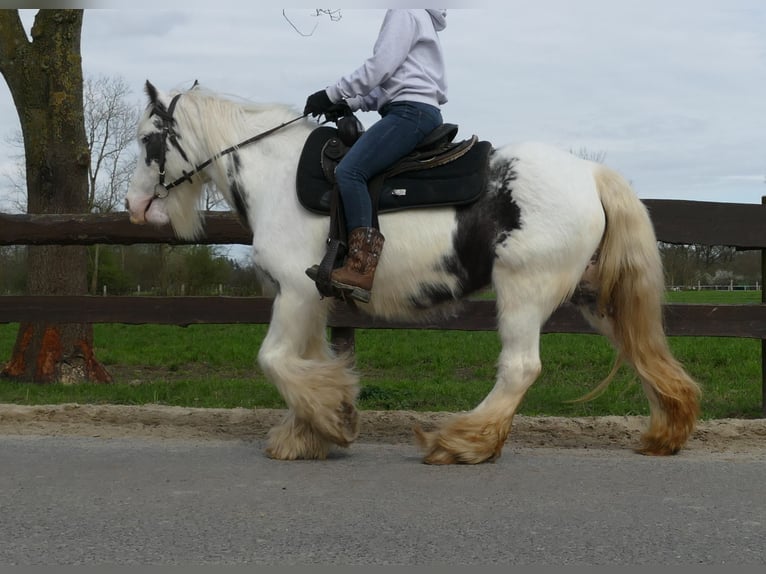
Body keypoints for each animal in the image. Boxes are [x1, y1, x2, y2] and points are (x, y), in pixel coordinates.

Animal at [126, 83, 704, 466]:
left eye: (149, 140)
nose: (134, 207)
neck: (278, 176)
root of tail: (590, 173)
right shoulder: (309, 301)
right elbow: (307, 360)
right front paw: (311, 431)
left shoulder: (293, 294)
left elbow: (275, 361)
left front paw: (332, 419)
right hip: (593, 297)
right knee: (642, 352)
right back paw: (666, 432)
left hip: (524, 289)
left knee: (520, 368)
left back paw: (462, 441)